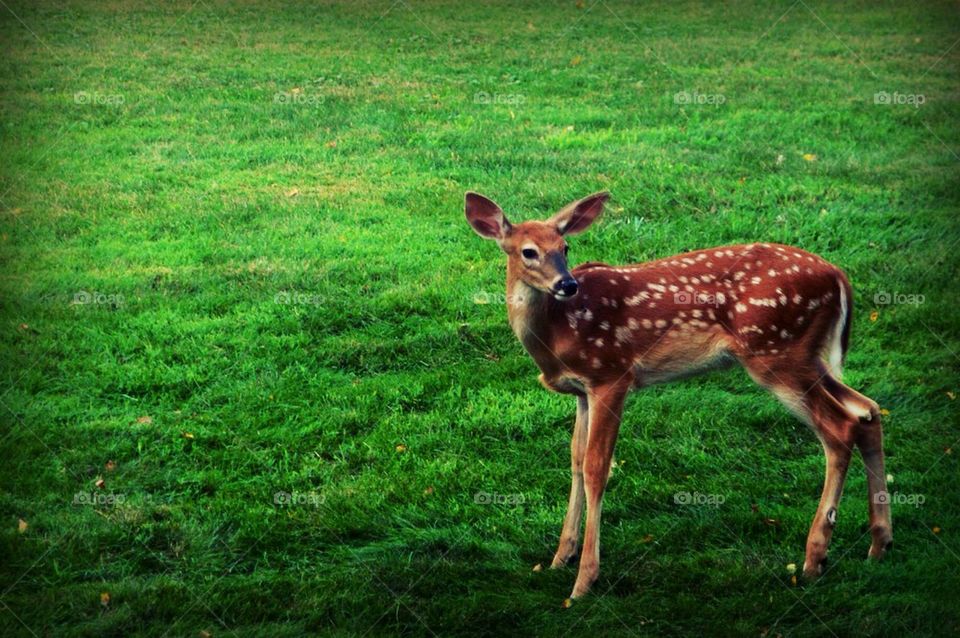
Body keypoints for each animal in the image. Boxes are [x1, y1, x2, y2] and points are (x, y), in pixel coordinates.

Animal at [464, 191, 893, 600]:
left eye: (565, 247)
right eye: (528, 251)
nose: (567, 284)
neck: (556, 333)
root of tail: (839, 277)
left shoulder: (612, 374)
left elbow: (596, 468)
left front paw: (584, 580)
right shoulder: (581, 391)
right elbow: (574, 459)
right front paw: (559, 558)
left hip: (777, 351)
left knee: (840, 427)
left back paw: (815, 557)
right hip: (807, 358)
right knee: (868, 411)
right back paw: (879, 544)